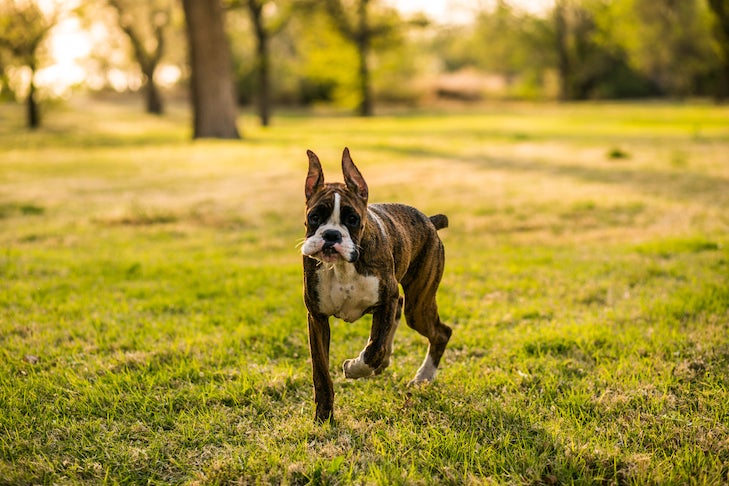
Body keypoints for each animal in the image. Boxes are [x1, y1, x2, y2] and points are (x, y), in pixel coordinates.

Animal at [300, 148, 450, 422]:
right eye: (314, 218)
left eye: (352, 219)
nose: (331, 235)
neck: (344, 267)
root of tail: (429, 220)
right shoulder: (317, 318)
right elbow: (321, 373)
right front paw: (323, 416)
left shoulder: (385, 301)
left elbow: (374, 348)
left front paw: (354, 368)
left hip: (418, 307)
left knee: (441, 332)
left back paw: (422, 377)